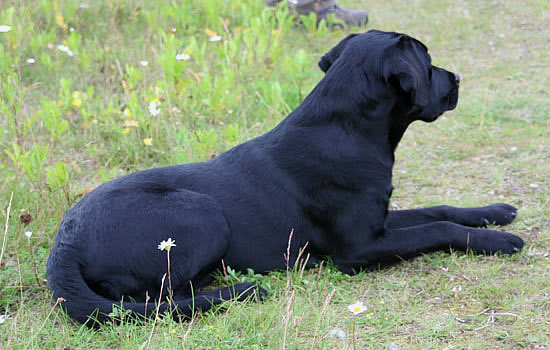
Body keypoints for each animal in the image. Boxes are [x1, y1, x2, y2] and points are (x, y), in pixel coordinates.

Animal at [47, 30, 528, 326]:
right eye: (429, 64)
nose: (458, 78)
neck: (350, 128)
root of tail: (63, 246)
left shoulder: (379, 219)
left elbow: (438, 209)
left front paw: (494, 211)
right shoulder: (359, 248)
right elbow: (438, 227)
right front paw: (499, 240)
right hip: (201, 212)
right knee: (161, 298)